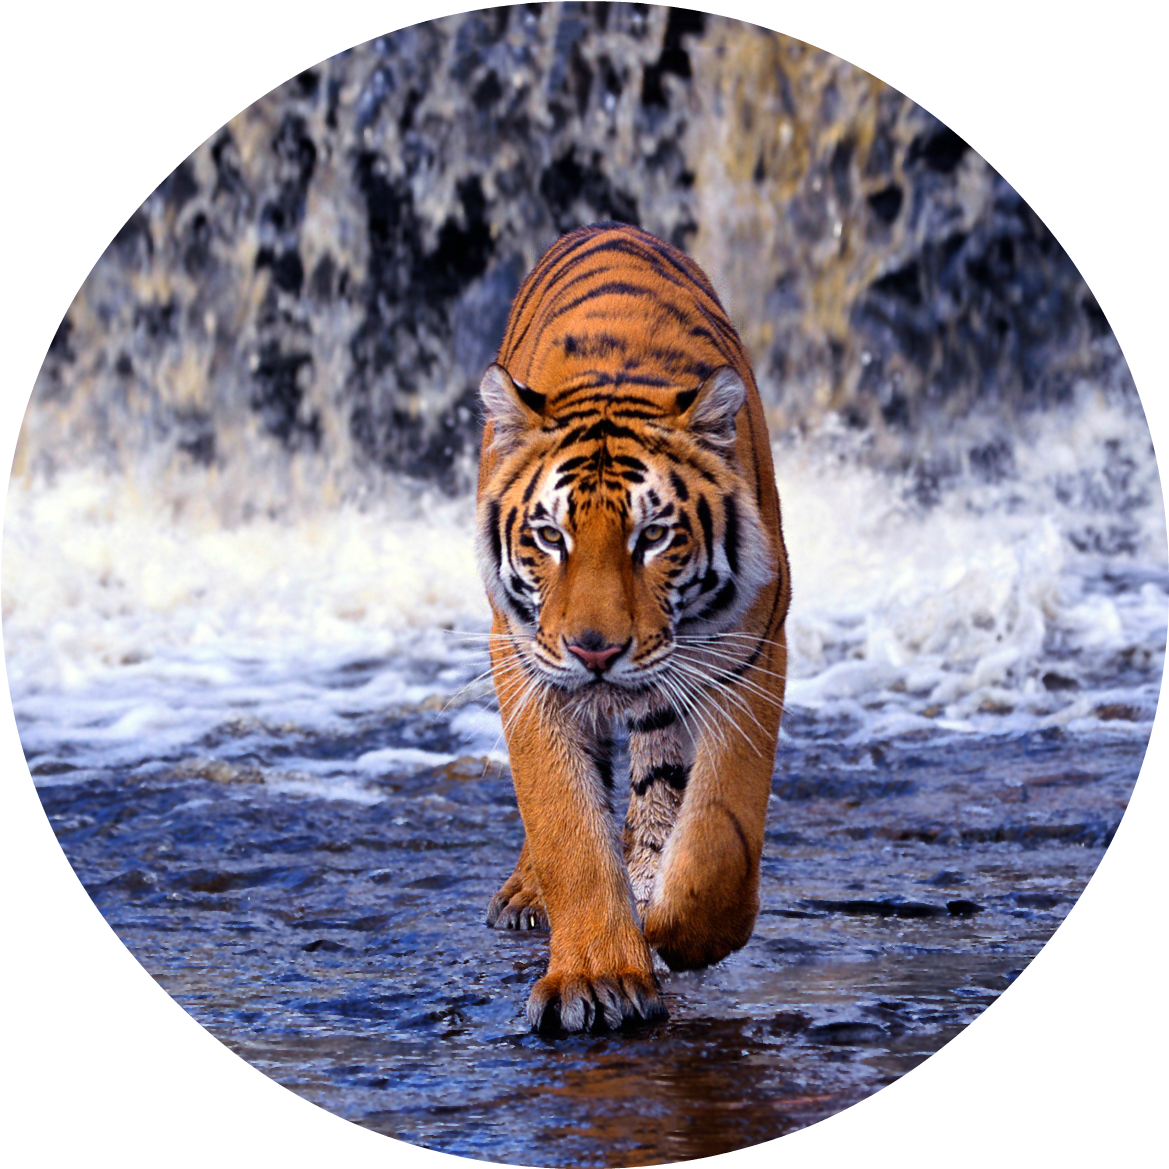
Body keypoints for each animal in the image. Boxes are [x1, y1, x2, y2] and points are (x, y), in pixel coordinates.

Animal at [475, 222, 791, 1033]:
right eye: (549, 536)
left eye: (652, 537)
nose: (596, 650)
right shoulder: (525, 662)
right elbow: (565, 822)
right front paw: (596, 977)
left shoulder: (748, 653)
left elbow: (719, 832)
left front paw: (680, 930)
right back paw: (530, 893)